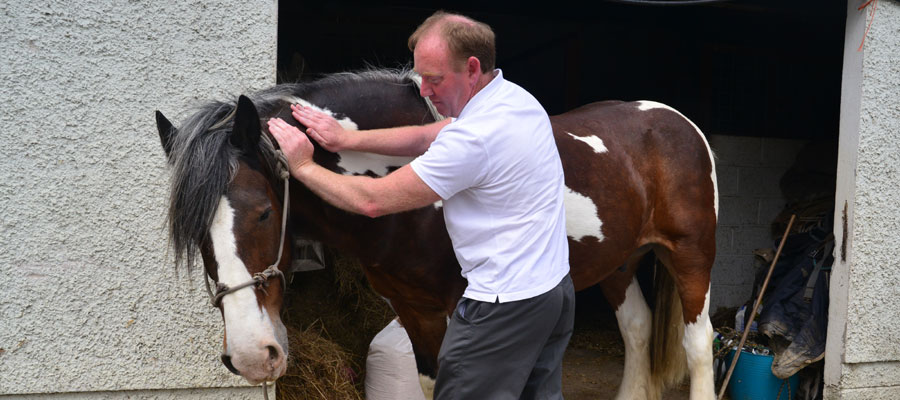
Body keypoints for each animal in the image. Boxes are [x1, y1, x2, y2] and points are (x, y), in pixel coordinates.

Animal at [155, 67, 716, 398]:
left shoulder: (453, 311)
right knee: (637, 330)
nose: (253, 356)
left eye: (264, 214)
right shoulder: (414, 310)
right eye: (194, 235)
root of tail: (673, 121)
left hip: (692, 257)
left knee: (698, 343)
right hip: (618, 262)